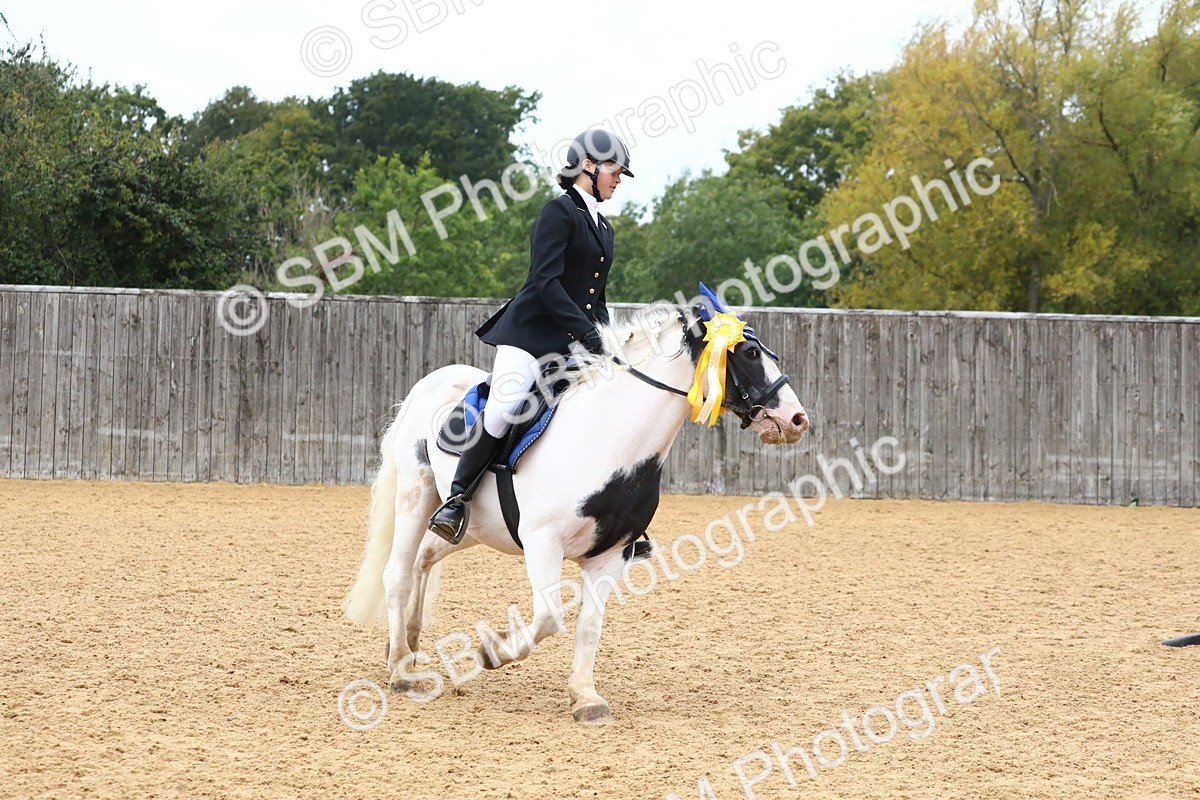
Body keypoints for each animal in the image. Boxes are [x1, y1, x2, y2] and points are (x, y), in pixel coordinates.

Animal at [343, 297, 810, 724]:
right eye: (748, 354)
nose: (797, 419)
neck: (609, 441)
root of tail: (432, 382)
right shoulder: (542, 545)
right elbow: (550, 617)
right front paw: (494, 650)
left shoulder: (611, 555)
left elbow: (589, 626)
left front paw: (586, 697)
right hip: (415, 495)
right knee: (398, 574)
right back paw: (401, 669)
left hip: (473, 528)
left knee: (424, 557)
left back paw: (409, 643)